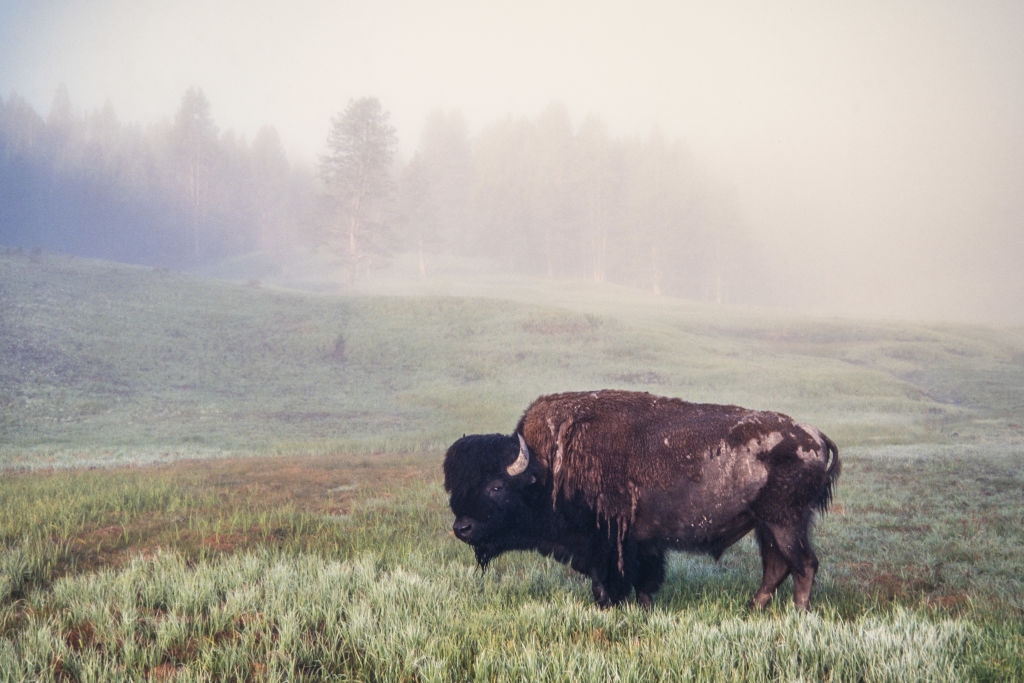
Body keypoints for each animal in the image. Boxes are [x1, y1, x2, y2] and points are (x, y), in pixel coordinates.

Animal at [443, 390, 840, 610]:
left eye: (496, 486)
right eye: (454, 486)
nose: (462, 528)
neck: (546, 468)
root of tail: (815, 436)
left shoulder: (609, 545)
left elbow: (613, 582)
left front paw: (610, 606)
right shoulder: (643, 544)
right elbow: (644, 583)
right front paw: (645, 609)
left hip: (785, 522)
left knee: (803, 565)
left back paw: (798, 615)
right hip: (765, 526)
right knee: (776, 567)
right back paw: (751, 609)